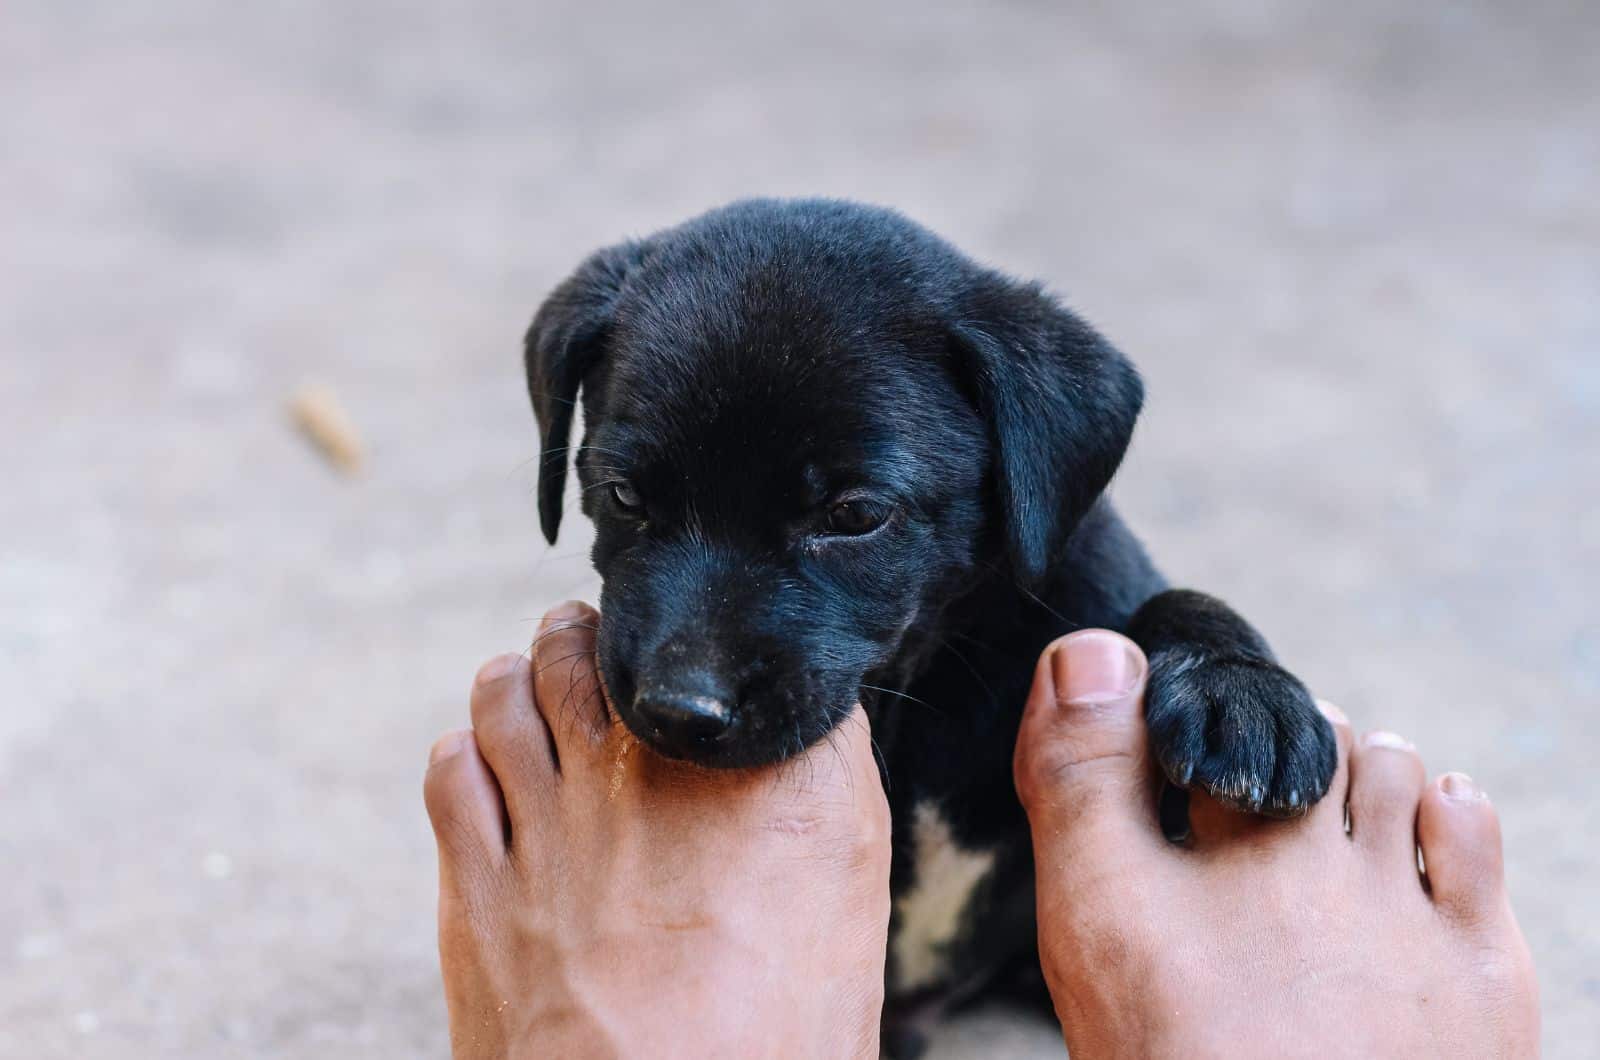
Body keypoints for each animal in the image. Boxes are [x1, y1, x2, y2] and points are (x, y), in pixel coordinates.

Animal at [528, 201, 1337, 1056]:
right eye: (623, 495)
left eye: (854, 514)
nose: (681, 711)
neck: (930, 687)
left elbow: (1171, 603)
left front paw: (1245, 696)